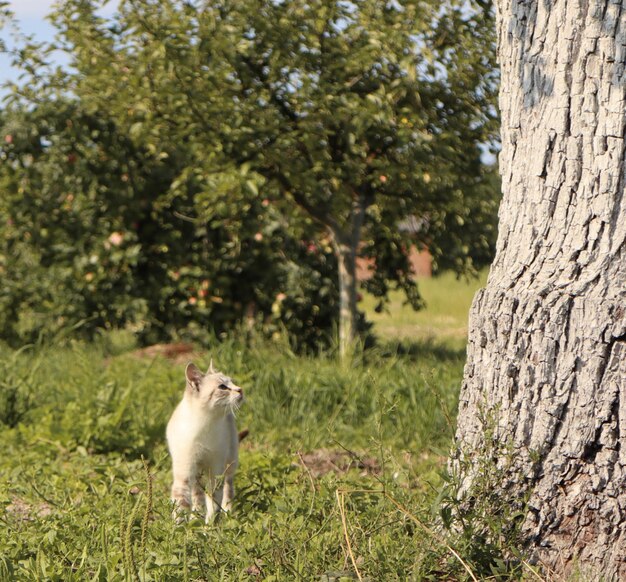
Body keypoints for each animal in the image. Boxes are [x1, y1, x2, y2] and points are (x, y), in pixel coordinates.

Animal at [165, 360, 243, 524]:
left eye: (232, 382)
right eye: (222, 387)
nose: (240, 390)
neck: (205, 425)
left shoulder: (215, 471)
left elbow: (214, 503)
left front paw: (210, 527)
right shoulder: (185, 472)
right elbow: (181, 506)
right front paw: (181, 528)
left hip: (230, 463)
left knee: (228, 487)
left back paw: (228, 512)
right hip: (196, 473)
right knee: (197, 496)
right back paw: (196, 517)